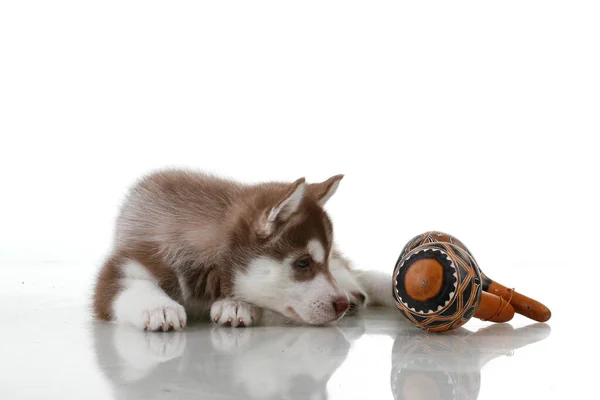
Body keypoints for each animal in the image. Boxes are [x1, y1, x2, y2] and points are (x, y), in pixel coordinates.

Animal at [92, 169, 394, 332]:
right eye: (303, 263)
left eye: (320, 261)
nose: (341, 304)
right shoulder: (126, 262)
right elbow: (130, 285)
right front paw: (159, 308)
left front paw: (235, 304)